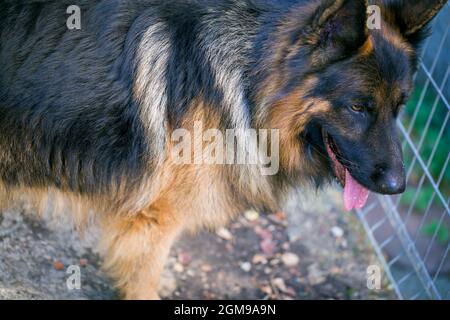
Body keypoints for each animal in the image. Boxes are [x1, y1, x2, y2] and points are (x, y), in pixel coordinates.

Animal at [0, 0, 446, 300]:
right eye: (358, 107)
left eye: (399, 107)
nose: (397, 186)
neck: (246, 80)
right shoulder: (154, 220)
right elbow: (144, 275)